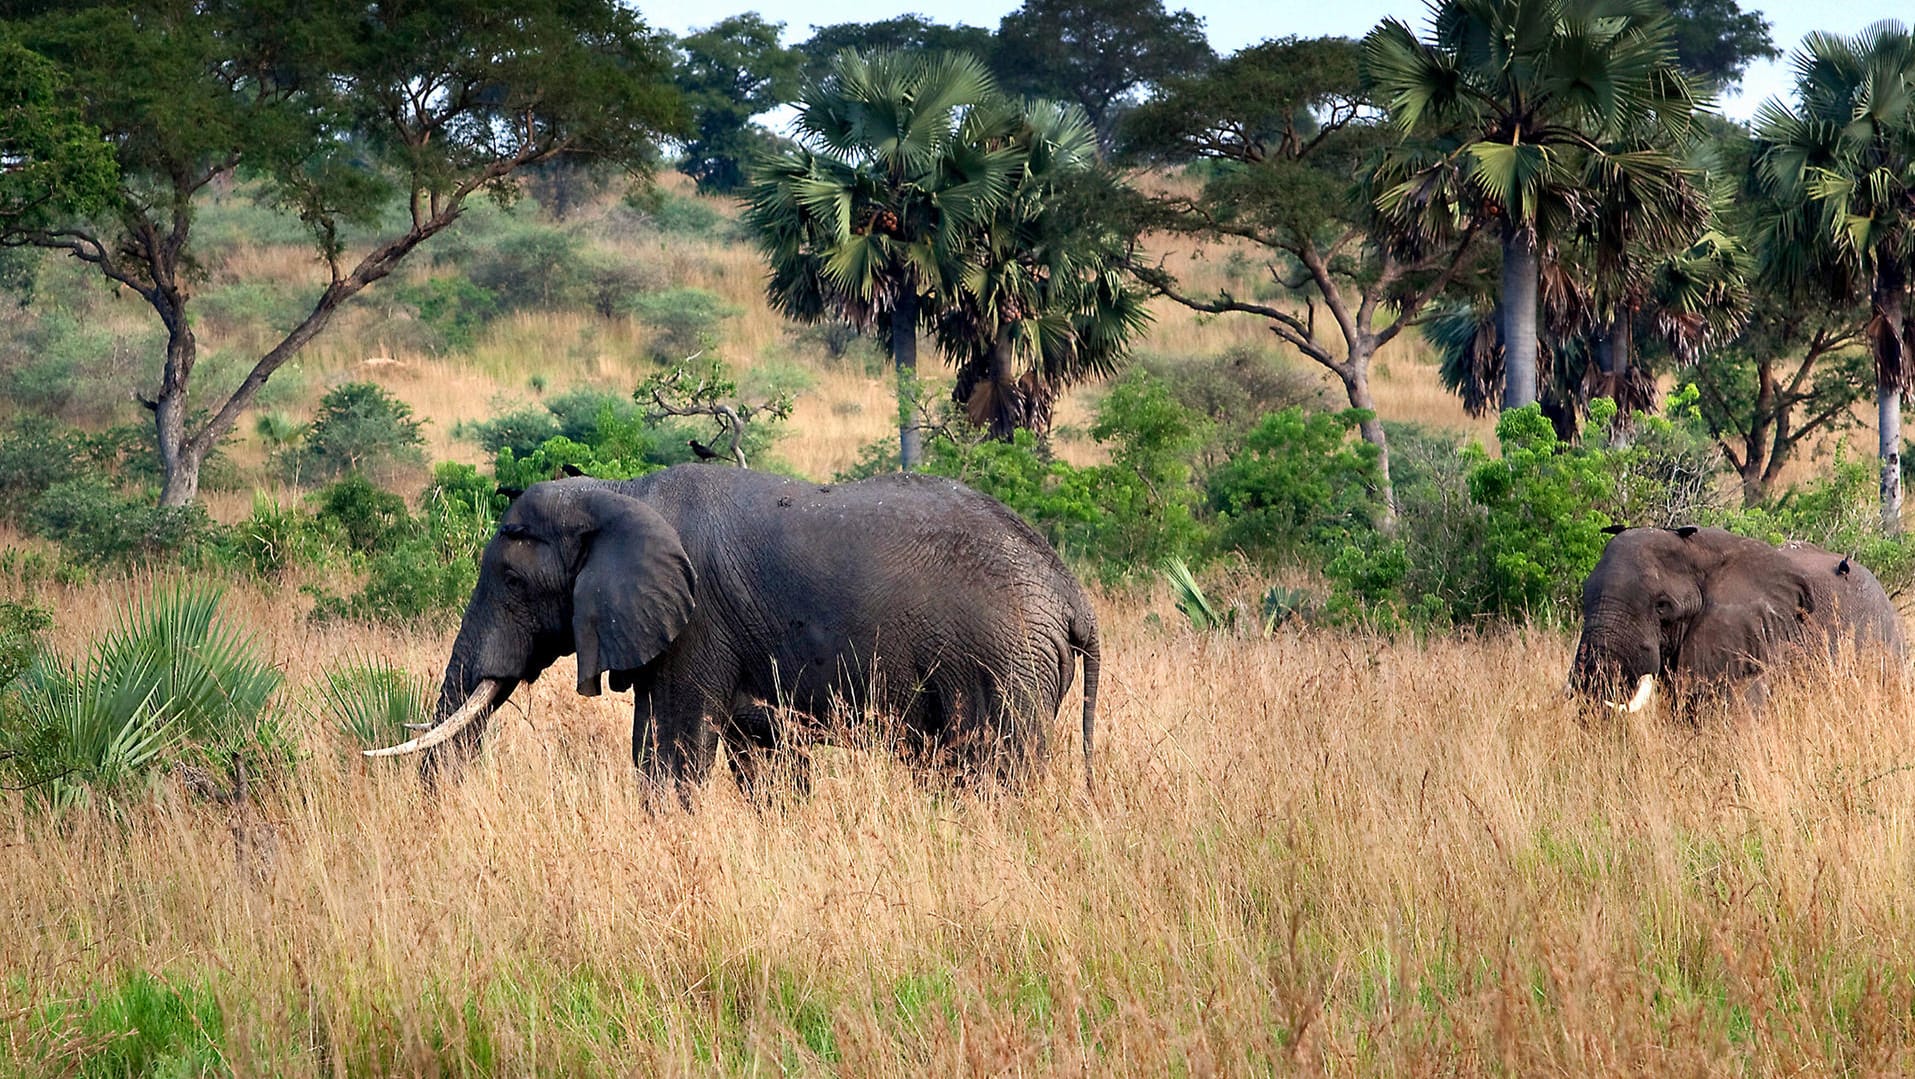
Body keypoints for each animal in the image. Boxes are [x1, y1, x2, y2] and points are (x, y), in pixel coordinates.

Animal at [363, 469, 1103, 797]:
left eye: (513, 581)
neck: (621, 493)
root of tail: (1072, 593)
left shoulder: (697, 623)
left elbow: (669, 755)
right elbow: (763, 761)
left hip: (1002, 663)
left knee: (989, 770)